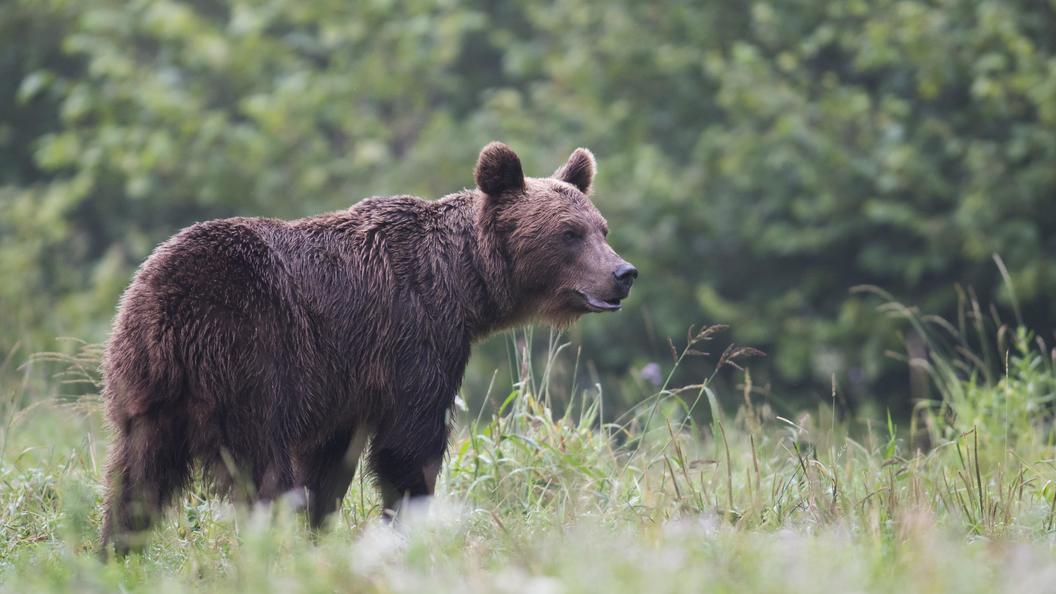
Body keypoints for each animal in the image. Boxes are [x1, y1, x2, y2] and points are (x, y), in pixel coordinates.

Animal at [100, 140, 633, 553]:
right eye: (569, 233)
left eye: (602, 227)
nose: (623, 273)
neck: (463, 286)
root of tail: (168, 308)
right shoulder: (413, 340)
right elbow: (408, 445)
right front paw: (406, 523)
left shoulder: (344, 385)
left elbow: (327, 465)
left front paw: (319, 531)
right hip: (246, 358)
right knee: (262, 470)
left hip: (142, 386)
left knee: (135, 478)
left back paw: (116, 550)